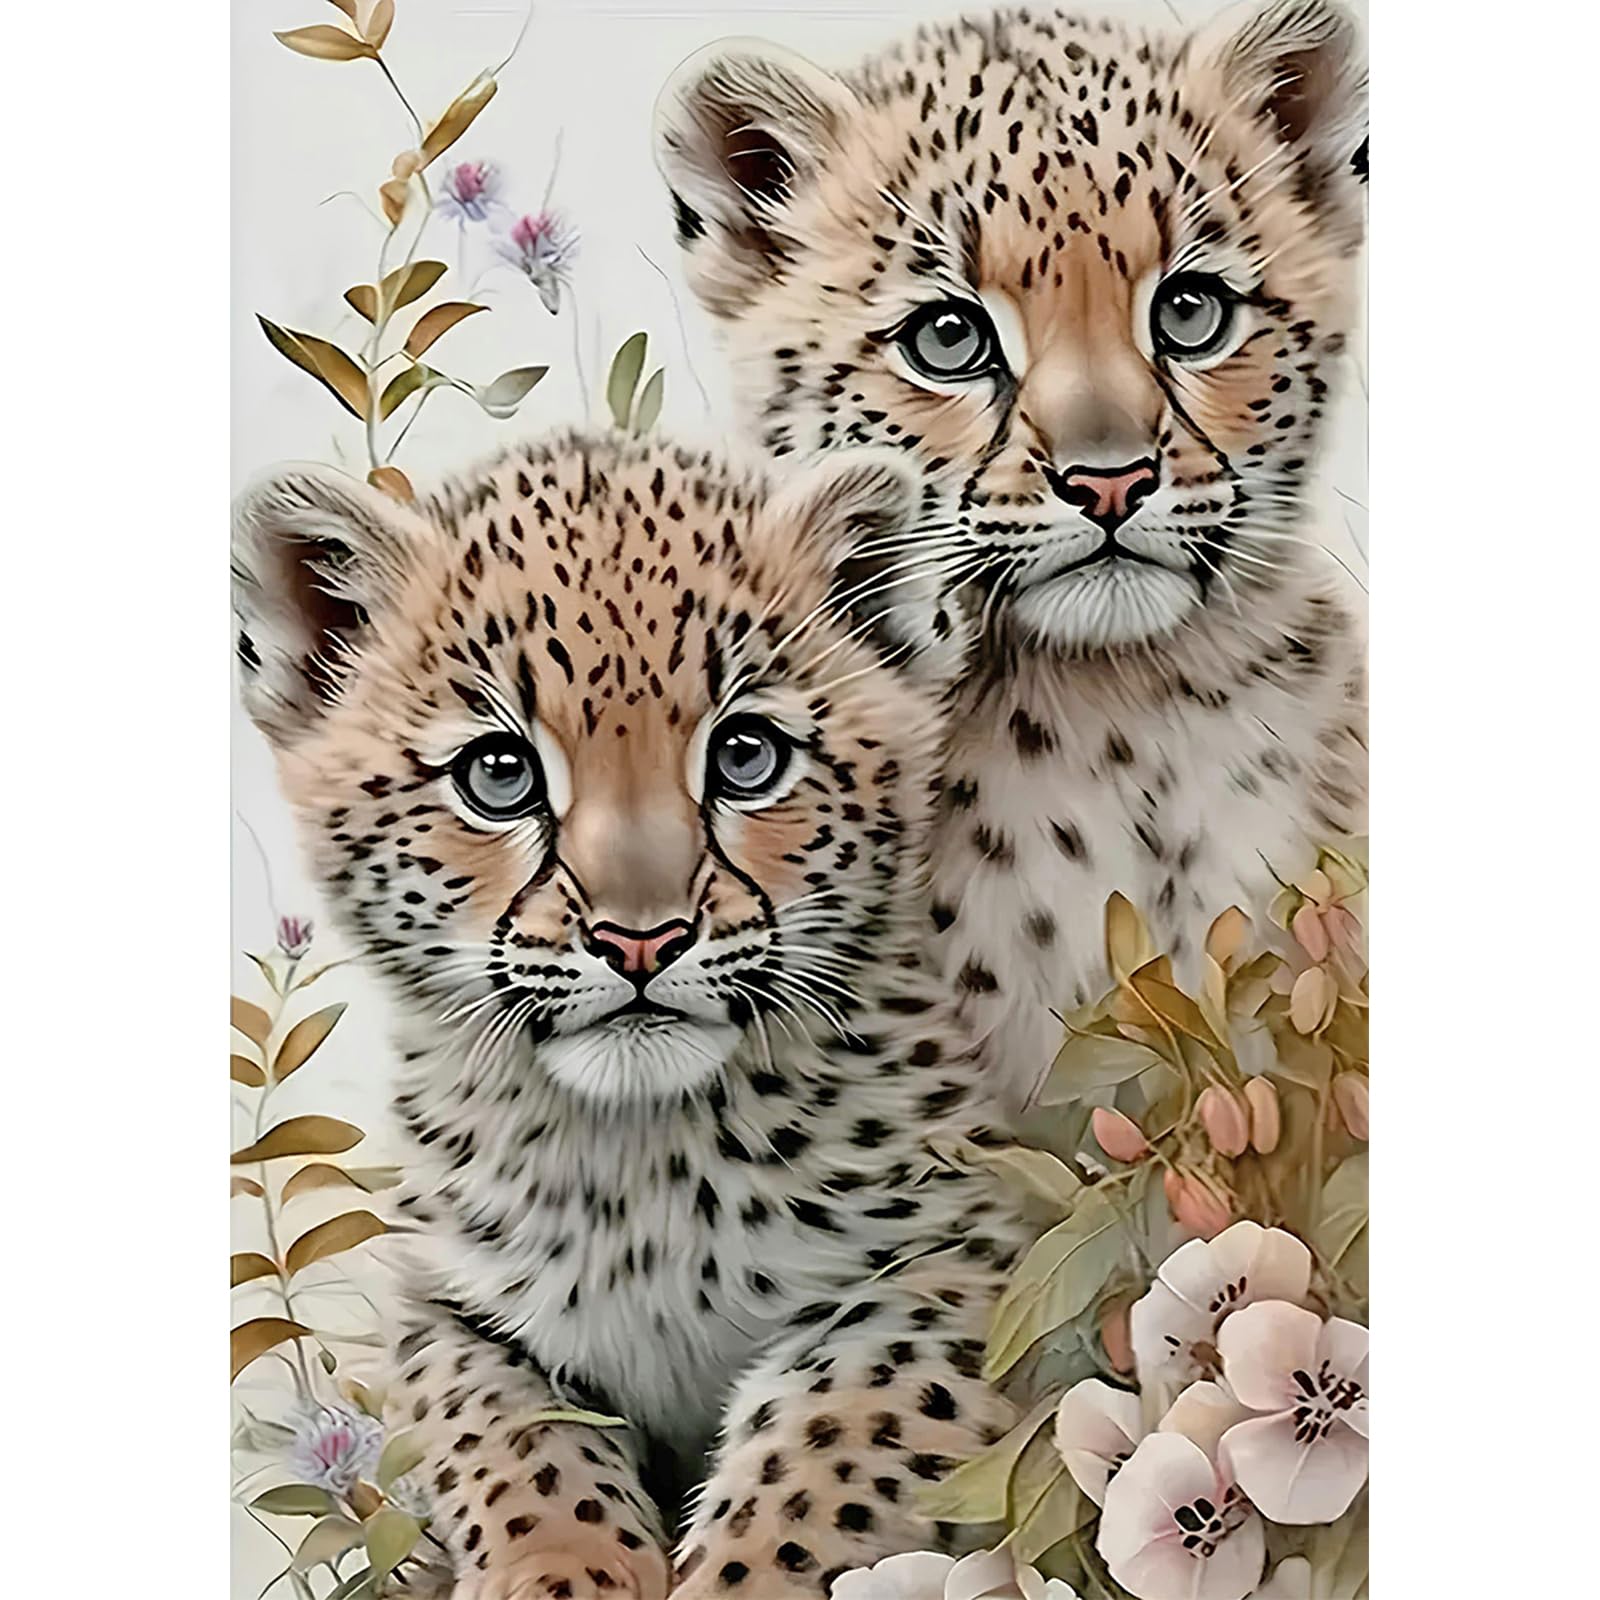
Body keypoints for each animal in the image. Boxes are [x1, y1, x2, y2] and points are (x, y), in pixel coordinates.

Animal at [231, 431, 1033, 1599]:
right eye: (499, 772)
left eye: (745, 755)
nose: (641, 940)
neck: (644, 1163)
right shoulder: (447, 1305)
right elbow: (516, 1447)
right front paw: (561, 1575)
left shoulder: (947, 1259)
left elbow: (822, 1455)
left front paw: (743, 1570)